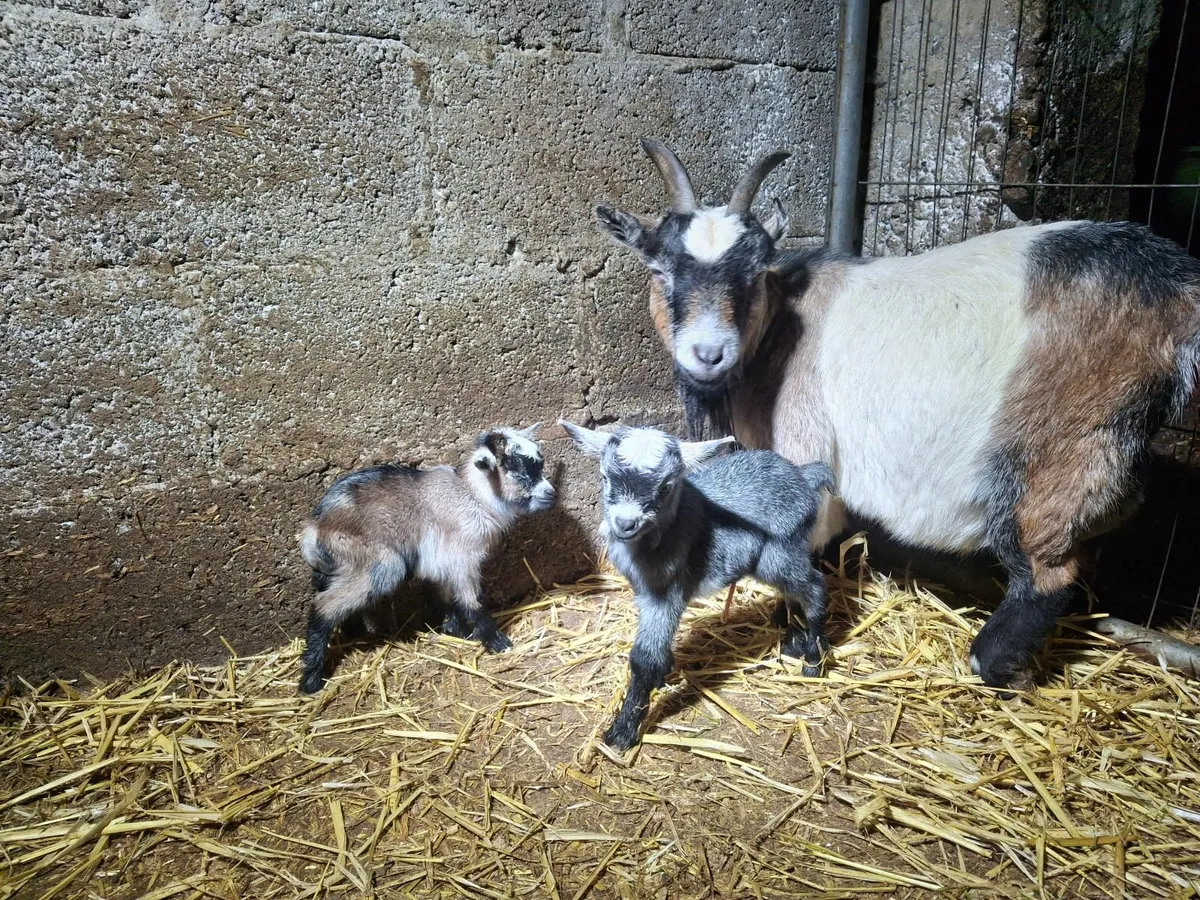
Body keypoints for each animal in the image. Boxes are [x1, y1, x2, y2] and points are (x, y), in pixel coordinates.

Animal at [298, 425, 555, 693]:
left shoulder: (444, 561)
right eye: (517, 470)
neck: (472, 496)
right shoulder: (463, 559)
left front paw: (454, 631)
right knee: (325, 606)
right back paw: (311, 681)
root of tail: (316, 527)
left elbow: (448, 597)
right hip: (378, 562)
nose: (551, 493)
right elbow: (472, 600)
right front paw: (498, 643)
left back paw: (352, 636)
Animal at [561, 420, 834, 750]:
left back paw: (813, 661)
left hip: (779, 554)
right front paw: (664, 676)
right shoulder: (643, 590)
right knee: (794, 591)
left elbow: (644, 659)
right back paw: (793, 642)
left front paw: (622, 732)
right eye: (604, 477)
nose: (625, 524)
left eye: (665, 487)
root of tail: (805, 475)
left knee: (814, 586)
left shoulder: (665, 595)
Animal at [595, 139, 1200, 690]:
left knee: (1050, 568)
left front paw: (795, 639)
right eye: (658, 269)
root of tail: (1174, 287)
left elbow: (805, 541)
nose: (709, 353)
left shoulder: (803, 451)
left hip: (1057, 448)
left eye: (753, 272)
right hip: (1106, 447)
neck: (776, 332)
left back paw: (992, 663)